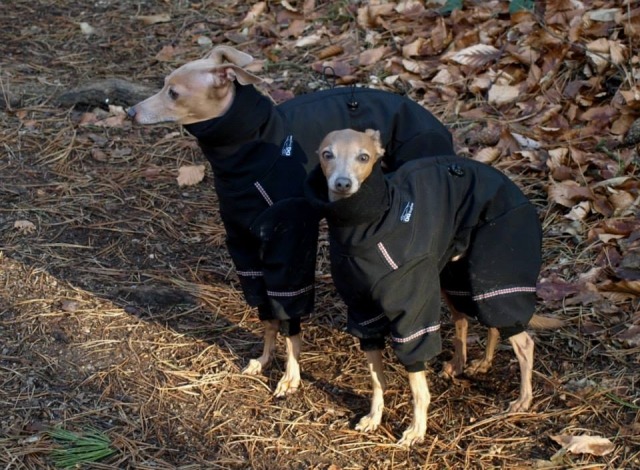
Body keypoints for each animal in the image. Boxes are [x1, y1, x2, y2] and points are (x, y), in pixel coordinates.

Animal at [127, 46, 454, 397]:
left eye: (173, 93)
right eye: (164, 85)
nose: (130, 111)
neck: (247, 149)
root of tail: (438, 124)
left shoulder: (289, 245)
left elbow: (289, 317)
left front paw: (290, 376)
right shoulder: (244, 248)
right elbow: (266, 315)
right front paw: (264, 359)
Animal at [304, 128, 563, 446]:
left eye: (363, 157)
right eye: (327, 154)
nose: (343, 183)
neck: (364, 227)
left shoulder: (413, 319)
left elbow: (418, 385)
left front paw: (417, 429)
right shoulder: (364, 315)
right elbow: (377, 379)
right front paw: (374, 417)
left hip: (495, 278)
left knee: (523, 341)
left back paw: (523, 399)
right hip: (461, 284)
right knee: (474, 321)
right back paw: (474, 363)